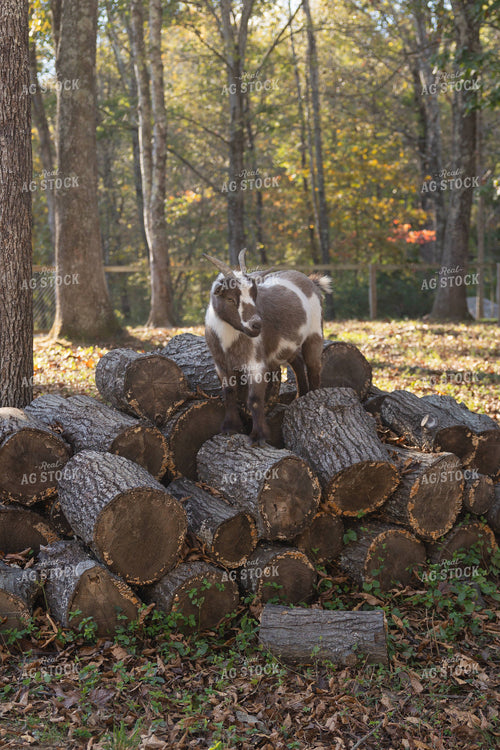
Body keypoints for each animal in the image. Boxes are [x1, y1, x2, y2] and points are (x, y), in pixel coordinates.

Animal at [204, 250, 332, 443]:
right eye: (230, 299)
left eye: (254, 296)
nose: (256, 325)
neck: (229, 340)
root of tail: (310, 281)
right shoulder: (221, 364)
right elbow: (229, 392)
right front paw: (230, 428)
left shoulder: (256, 363)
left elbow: (255, 399)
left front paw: (259, 436)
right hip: (288, 345)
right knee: (297, 363)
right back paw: (300, 396)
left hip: (315, 332)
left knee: (313, 367)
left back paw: (312, 397)